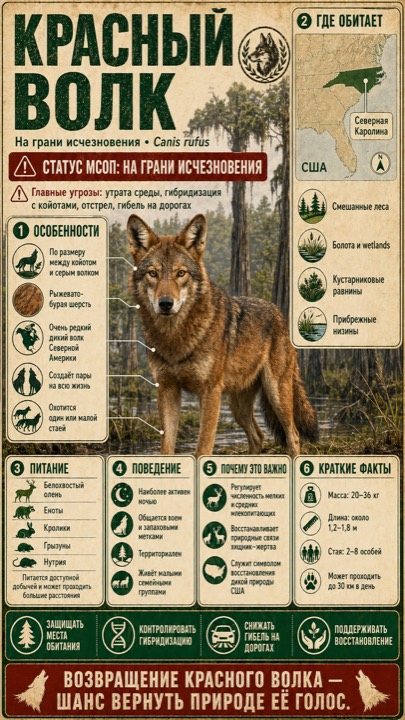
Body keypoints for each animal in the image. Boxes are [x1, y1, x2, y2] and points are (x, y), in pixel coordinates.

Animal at [127, 214, 318, 458]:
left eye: (181, 273)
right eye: (153, 273)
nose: (166, 303)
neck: (175, 338)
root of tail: (278, 313)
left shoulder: (210, 392)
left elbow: (203, 448)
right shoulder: (167, 389)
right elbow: (166, 448)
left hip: (277, 393)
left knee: (292, 435)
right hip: (237, 405)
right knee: (258, 436)